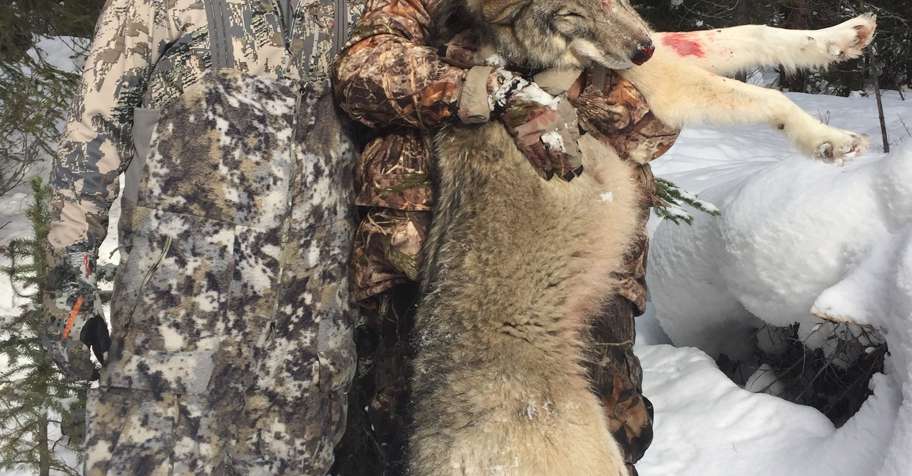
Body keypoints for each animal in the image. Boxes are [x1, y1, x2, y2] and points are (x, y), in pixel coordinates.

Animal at [408, 1, 877, 475]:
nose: (641, 49)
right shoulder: (661, 85)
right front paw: (831, 141)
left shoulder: (662, 54)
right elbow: (769, 97)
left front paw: (845, 37)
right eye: (569, 15)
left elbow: (750, 33)